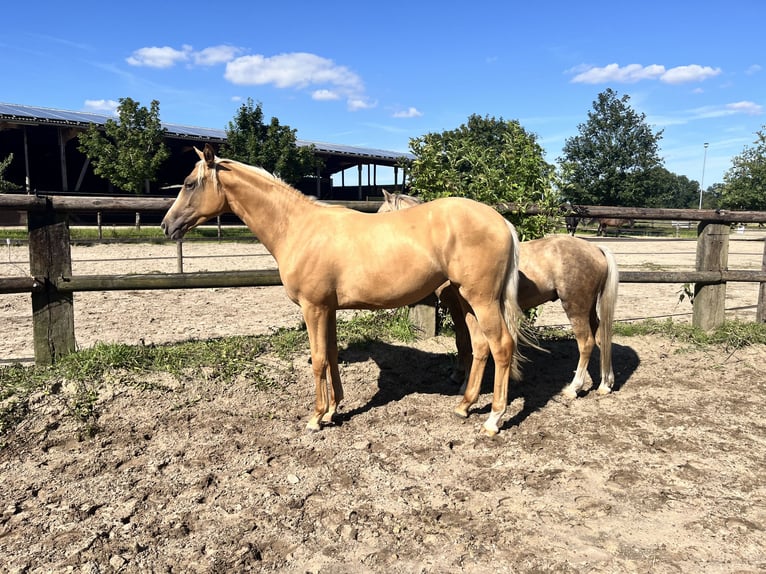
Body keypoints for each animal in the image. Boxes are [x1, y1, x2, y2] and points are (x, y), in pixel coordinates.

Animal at [164, 145, 528, 436]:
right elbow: (332, 356)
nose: (168, 225)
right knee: (480, 346)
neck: (299, 228)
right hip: (467, 300)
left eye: (189, 184)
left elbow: (318, 360)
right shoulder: (328, 309)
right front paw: (333, 409)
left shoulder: (313, 308)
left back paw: (493, 419)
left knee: (501, 346)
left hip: (481, 300)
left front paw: (315, 418)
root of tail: (501, 221)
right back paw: (464, 405)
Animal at [380, 191, 620, 398]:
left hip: (575, 306)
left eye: (383, 213)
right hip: (589, 307)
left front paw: (462, 379)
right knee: (601, 337)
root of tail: (596, 249)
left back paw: (573, 388)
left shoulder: (459, 309)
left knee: (586, 342)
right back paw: (604, 384)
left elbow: (463, 342)